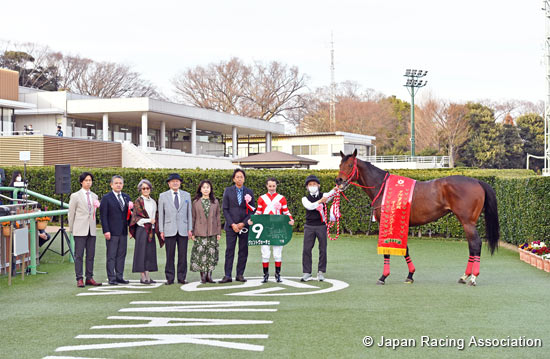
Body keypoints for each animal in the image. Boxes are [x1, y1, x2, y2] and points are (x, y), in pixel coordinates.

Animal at [336, 149, 500, 286]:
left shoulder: (388, 224)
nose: (338, 181)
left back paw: (473, 277)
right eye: (340, 164)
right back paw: (465, 276)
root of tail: (477, 181)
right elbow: (405, 250)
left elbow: (388, 250)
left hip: (468, 222)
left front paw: (383, 277)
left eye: (350, 165)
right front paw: (410, 275)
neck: (382, 187)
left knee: (476, 244)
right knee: (472, 246)